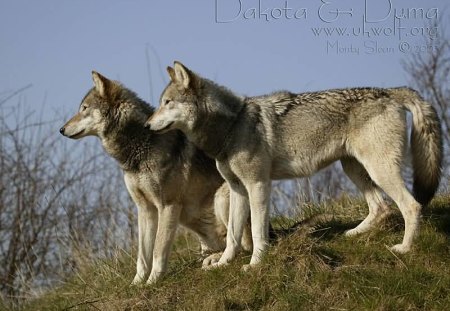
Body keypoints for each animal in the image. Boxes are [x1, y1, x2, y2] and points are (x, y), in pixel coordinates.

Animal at [59, 71, 253, 286]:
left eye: (84, 109)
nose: (61, 129)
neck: (142, 145)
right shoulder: (144, 208)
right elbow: (142, 256)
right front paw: (136, 285)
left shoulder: (167, 205)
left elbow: (158, 250)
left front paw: (152, 282)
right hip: (189, 216)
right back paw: (211, 257)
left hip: (220, 199)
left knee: (243, 244)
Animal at [146, 61, 442, 270]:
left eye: (167, 103)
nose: (147, 126)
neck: (232, 127)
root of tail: (390, 92)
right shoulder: (238, 189)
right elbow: (232, 236)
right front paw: (222, 263)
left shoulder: (258, 185)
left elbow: (257, 232)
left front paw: (255, 264)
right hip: (353, 168)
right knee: (381, 207)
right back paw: (352, 234)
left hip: (378, 170)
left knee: (411, 206)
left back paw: (404, 248)